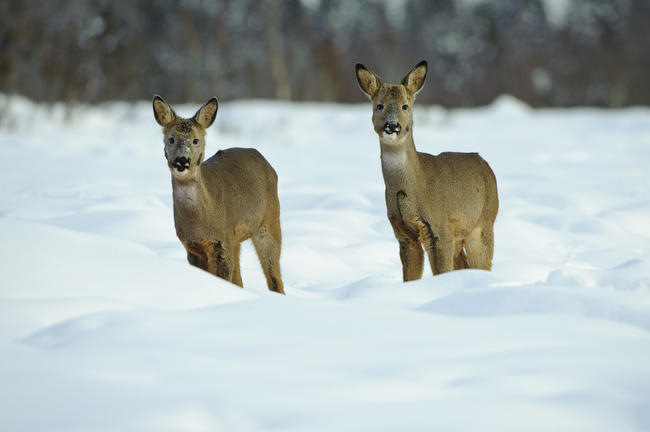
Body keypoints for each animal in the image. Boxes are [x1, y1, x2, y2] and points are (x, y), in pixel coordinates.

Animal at [153, 95, 284, 296]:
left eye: (196, 140)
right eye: (171, 139)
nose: (182, 160)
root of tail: (264, 159)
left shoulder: (221, 243)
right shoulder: (192, 246)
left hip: (269, 221)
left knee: (274, 276)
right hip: (236, 238)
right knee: (240, 279)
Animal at [354, 62, 496, 282]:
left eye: (405, 106)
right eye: (379, 105)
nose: (392, 125)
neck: (413, 186)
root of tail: (484, 163)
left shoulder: (439, 229)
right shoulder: (403, 234)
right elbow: (411, 277)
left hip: (482, 225)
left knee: (482, 265)